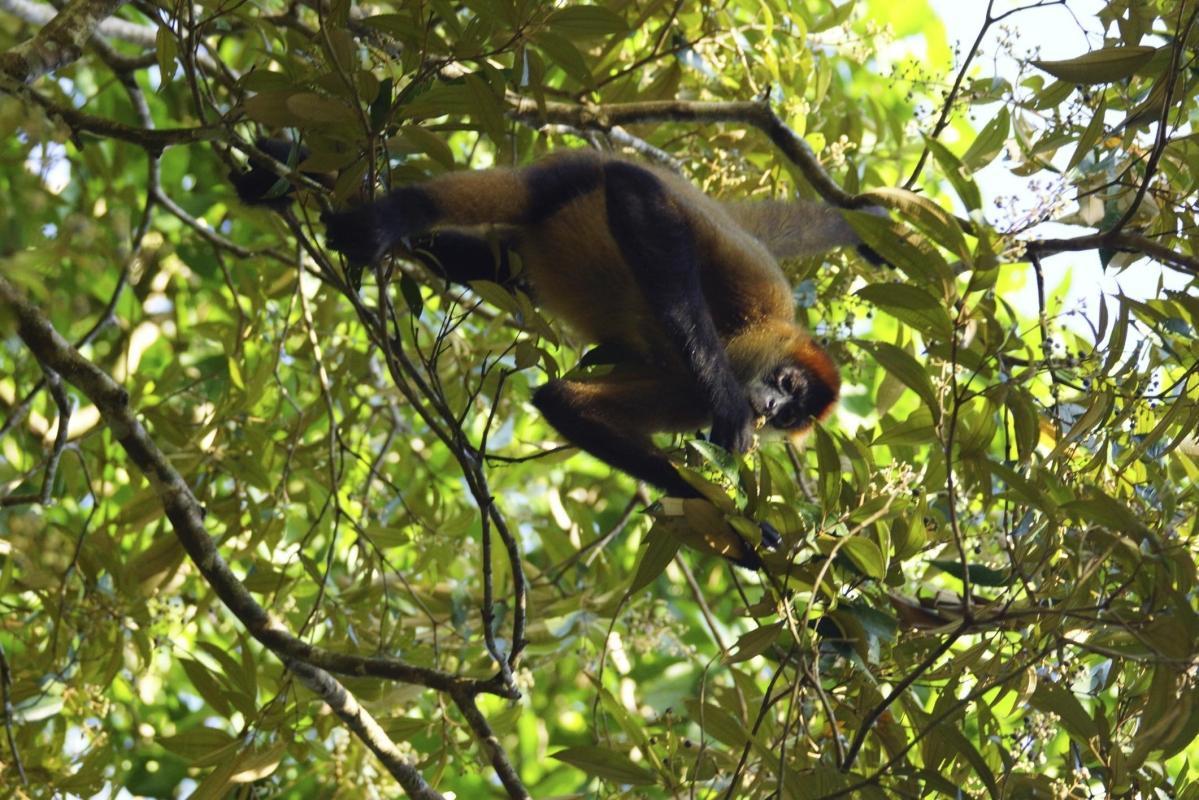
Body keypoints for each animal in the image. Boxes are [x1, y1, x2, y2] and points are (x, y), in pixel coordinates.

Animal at [233, 143, 877, 568]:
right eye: (787, 386)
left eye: (793, 416)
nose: (769, 410)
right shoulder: (756, 315)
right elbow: (644, 199)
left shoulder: (693, 389)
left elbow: (567, 403)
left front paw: (758, 541)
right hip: (577, 175)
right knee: (542, 192)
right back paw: (393, 215)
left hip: (516, 261)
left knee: (473, 260)